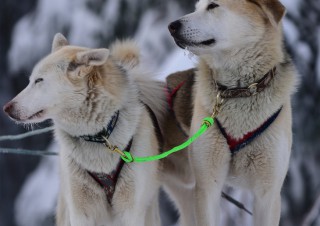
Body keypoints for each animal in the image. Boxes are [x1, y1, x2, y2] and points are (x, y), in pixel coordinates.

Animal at [3, 33, 165, 226]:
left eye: (39, 80)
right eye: (30, 81)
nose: (6, 108)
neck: (98, 136)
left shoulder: (130, 212)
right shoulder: (80, 213)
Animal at [169, 0, 298, 226]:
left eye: (213, 5)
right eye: (196, 7)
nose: (172, 26)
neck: (239, 90)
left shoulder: (268, 194)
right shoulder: (207, 188)